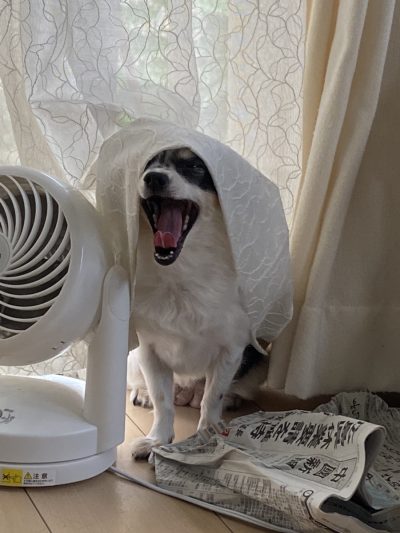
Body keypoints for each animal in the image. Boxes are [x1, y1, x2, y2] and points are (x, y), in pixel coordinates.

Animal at [129, 147, 268, 459]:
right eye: (147, 165)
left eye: (194, 167)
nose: (154, 177)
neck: (181, 272)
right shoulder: (148, 350)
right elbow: (162, 400)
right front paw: (157, 439)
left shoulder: (232, 349)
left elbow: (212, 397)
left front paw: (207, 434)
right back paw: (143, 394)